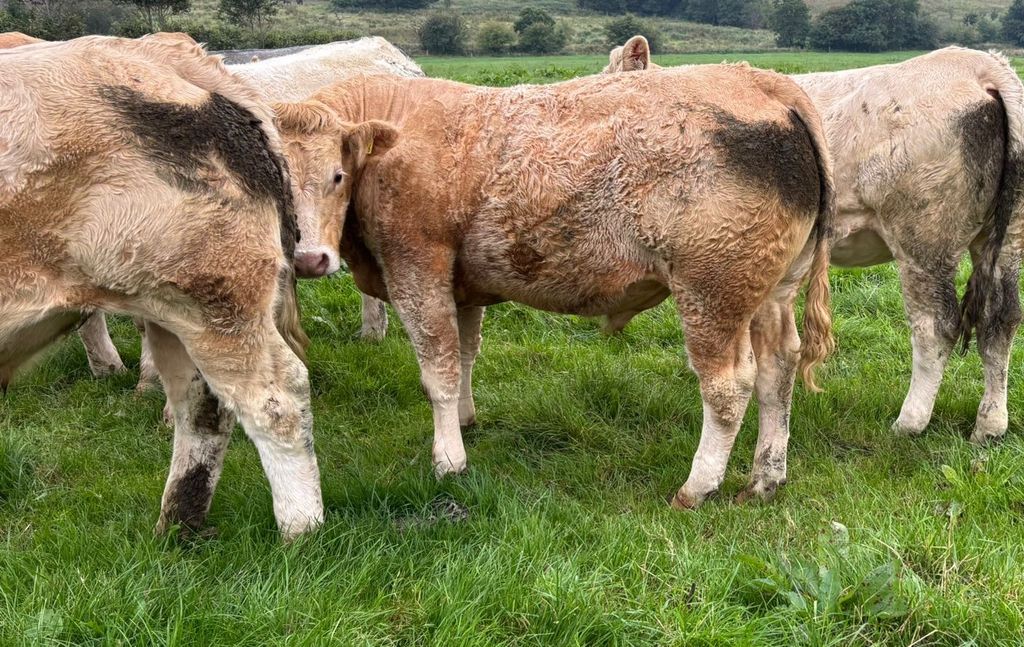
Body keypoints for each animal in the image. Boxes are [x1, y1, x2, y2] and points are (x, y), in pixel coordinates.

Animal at [0, 34, 323, 539]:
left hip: (217, 302)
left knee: (276, 401)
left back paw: (301, 530)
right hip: (173, 309)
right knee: (201, 406)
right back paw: (177, 525)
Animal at [272, 67, 836, 507]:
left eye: (337, 175)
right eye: (275, 185)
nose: (308, 259)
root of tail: (765, 82)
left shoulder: (417, 266)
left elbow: (439, 371)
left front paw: (449, 459)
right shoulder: (463, 284)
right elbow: (466, 353)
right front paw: (466, 421)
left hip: (712, 292)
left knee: (728, 386)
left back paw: (697, 487)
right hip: (770, 292)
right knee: (778, 369)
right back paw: (765, 479)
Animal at [605, 38, 1024, 445]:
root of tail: (980, 65)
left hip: (923, 236)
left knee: (936, 326)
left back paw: (910, 422)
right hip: (1005, 239)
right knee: (1002, 318)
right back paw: (989, 425)